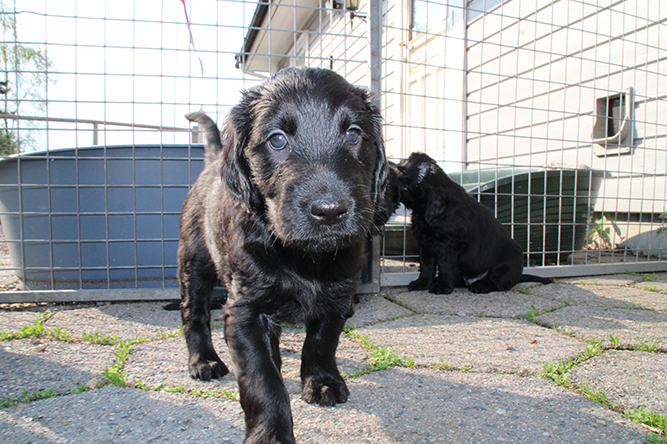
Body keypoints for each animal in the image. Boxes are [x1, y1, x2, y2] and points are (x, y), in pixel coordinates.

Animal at [178, 67, 396, 444]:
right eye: (277, 140)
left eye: (354, 134)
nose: (329, 211)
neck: (303, 257)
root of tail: (213, 161)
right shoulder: (245, 310)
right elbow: (261, 378)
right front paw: (270, 433)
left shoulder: (338, 294)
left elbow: (322, 341)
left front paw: (322, 381)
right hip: (195, 261)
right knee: (194, 312)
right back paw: (203, 360)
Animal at [395, 152, 552, 294]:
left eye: (405, 185)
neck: (424, 211)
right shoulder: (425, 244)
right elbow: (426, 266)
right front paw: (422, 283)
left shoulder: (449, 244)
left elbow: (446, 267)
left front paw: (442, 287)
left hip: (511, 258)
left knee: (499, 282)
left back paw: (481, 286)